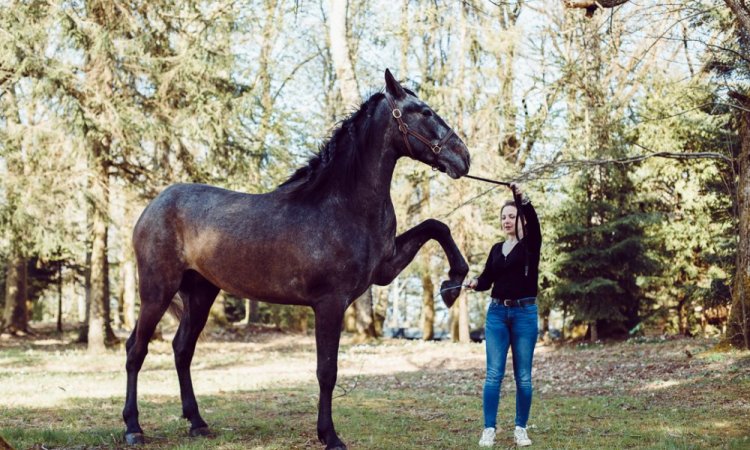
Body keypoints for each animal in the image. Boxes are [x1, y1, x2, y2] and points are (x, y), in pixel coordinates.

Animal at [122, 68, 470, 448]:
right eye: (424, 112)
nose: (463, 157)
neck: (344, 205)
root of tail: (153, 206)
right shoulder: (330, 304)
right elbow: (327, 371)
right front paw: (329, 435)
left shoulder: (385, 270)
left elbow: (436, 226)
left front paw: (453, 284)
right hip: (157, 292)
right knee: (136, 350)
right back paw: (133, 427)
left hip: (200, 293)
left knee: (182, 349)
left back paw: (197, 423)